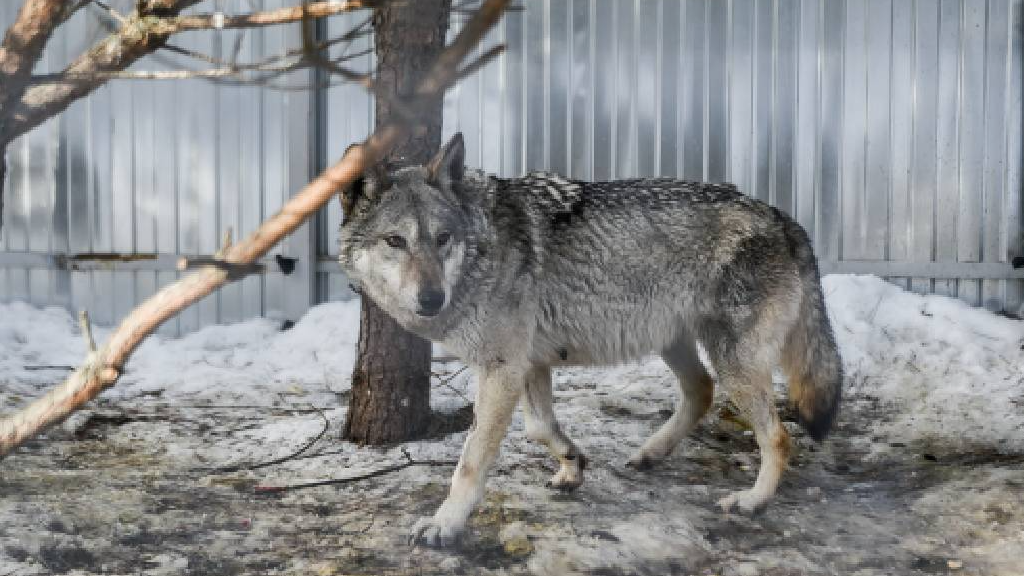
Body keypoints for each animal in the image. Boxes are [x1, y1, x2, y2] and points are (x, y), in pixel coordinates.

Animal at [335, 132, 839, 545]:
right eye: (395, 241)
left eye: (442, 239)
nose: (431, 298)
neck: (484, 246)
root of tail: (783, 217)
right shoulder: (529, 364)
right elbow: (540, 427)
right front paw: (572, 465)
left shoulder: (501, 369)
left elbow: (471, 461)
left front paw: (445, 524)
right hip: (675, 343)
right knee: (701, 391)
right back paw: (650, 453)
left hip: (731, 360)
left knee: (777, 437)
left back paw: (752, 501)